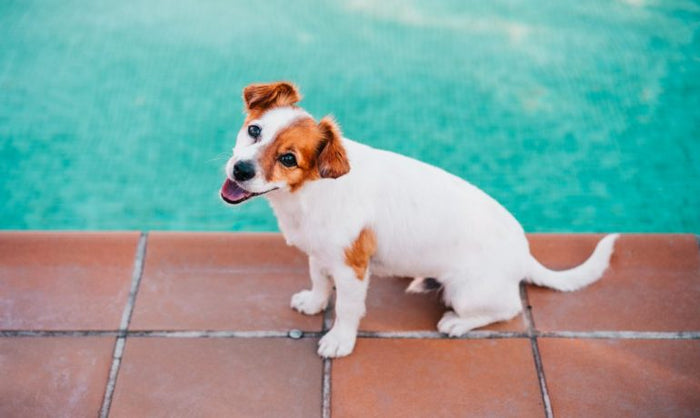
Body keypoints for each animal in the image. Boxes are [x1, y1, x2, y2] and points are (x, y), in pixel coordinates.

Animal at [220, 81, 616, 356]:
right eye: (254, 131)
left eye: (289, 158)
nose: (240, 170)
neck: (308, 192)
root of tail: (525, 253)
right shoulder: (321, 254)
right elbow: (319, 280)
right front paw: (314, 303)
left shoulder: (352, 268)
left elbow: (347, 307)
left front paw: (339, 341)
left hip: (465, 292)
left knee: (508, 307)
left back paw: (456, 323)